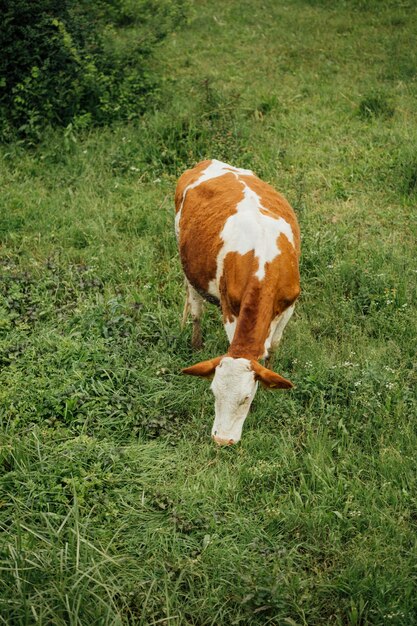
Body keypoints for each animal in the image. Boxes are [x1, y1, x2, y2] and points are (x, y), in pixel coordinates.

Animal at [175, 160, 300, 444]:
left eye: (246, 398)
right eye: (213, 392)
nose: (222, 440)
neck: (263, 264)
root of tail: (209, 161)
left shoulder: (289, 305)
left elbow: (274, 346)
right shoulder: (230, 308)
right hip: (188, 266)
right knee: (196, 309)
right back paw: (196, 343)